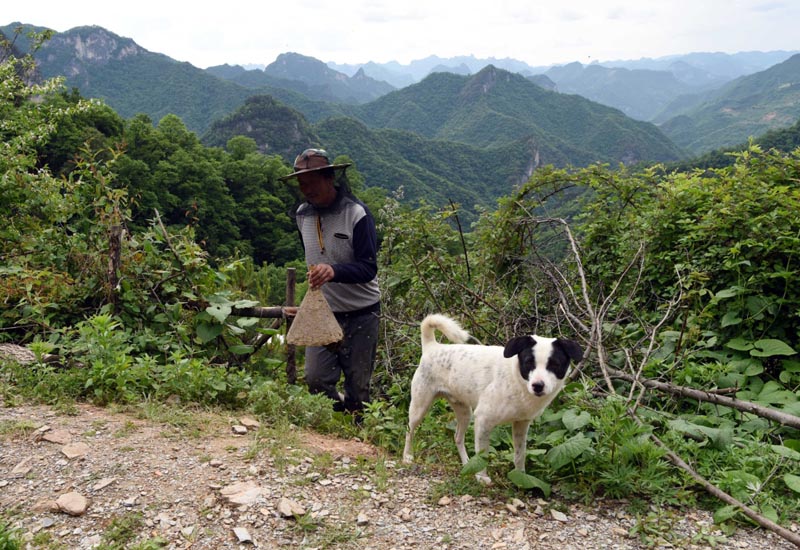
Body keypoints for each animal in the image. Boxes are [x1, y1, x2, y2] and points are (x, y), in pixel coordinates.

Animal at [400, 314, 580, 488]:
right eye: (529, 362)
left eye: (554, 364)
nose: (537, 386)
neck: (516, 380)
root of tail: (433, 346)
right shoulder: (483, 420)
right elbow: (482, 454)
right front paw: (482, 477)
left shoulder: (521, 424)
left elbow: (520, 454)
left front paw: (521, 476)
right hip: (420, 406)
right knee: (409, 430)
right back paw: (407, 456)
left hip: (465, 412)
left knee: (458, 437)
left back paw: (467, 463)